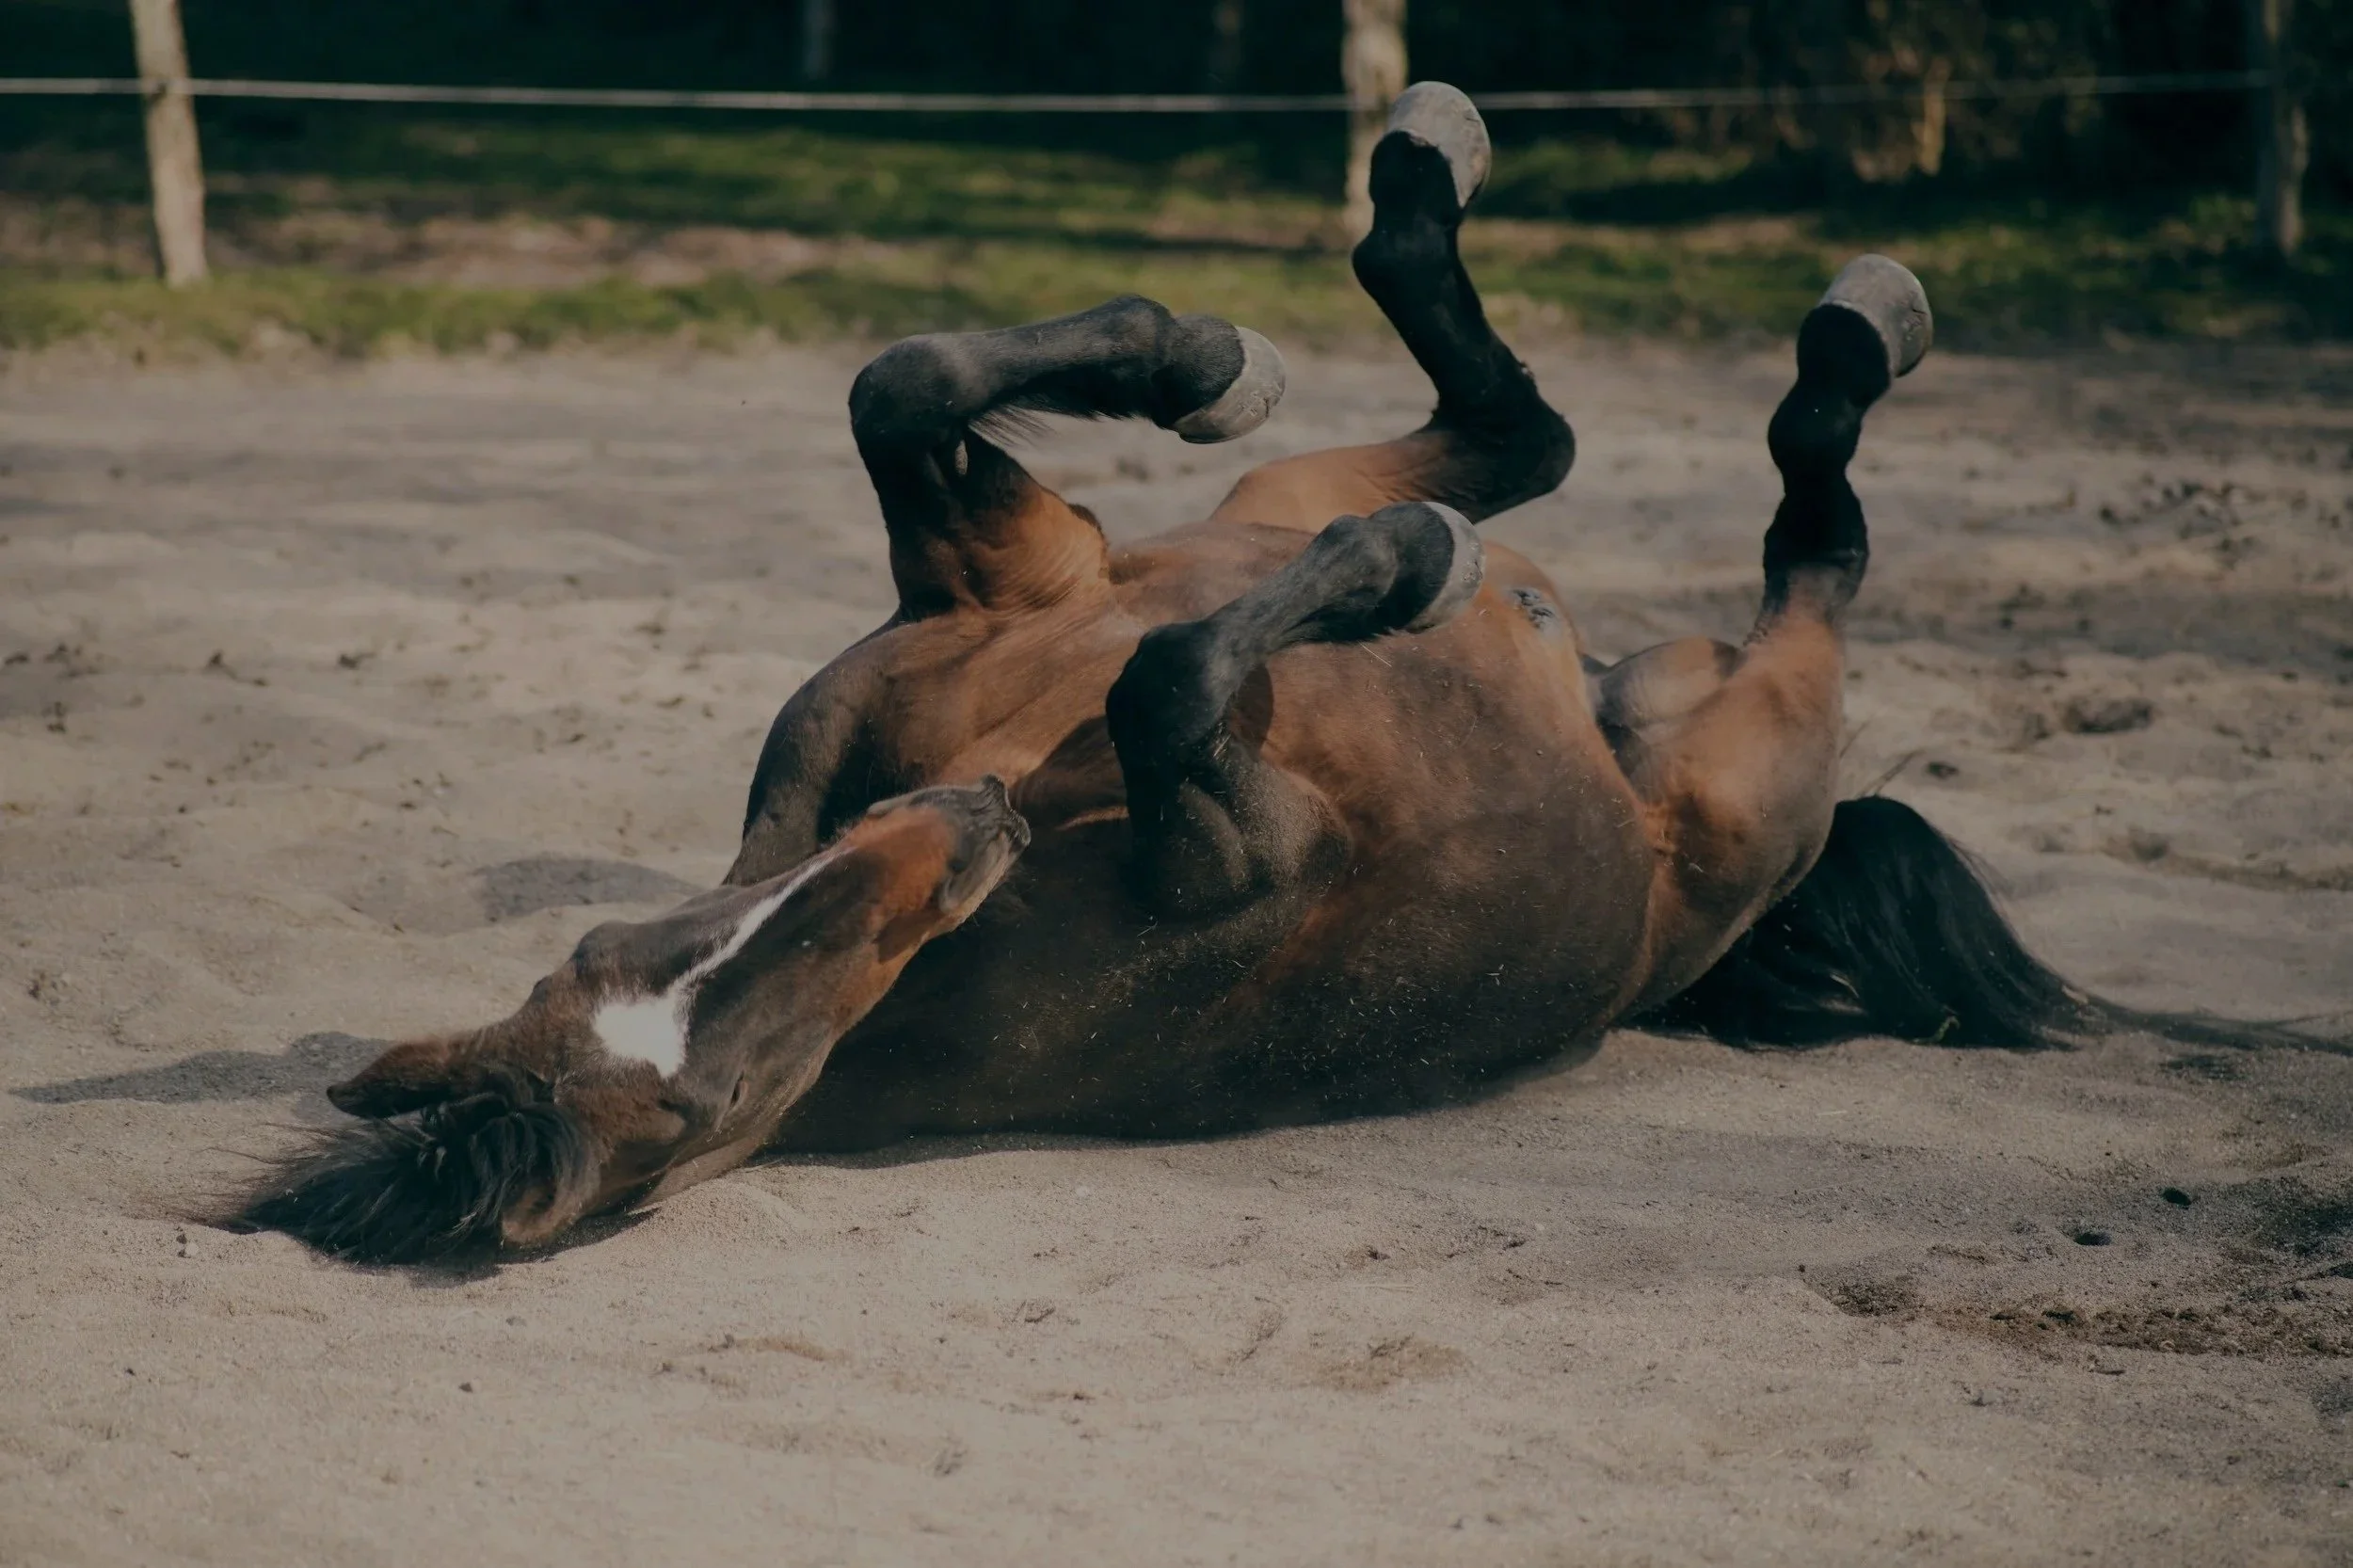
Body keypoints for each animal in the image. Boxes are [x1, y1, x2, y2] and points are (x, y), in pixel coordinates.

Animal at [240, 83, 2296, 1263]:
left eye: (625, 949)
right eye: (697, 1087)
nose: (947, 833)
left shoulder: (1005, 585)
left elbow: (905, 385)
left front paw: (1190, 356)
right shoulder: (1241, 833)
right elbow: (1166, 682)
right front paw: (1393, 574)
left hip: (1285, 511)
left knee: (1515, 432)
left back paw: (1413, 215)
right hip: (1748, 761)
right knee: (1789, 545)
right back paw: (1782, 368)